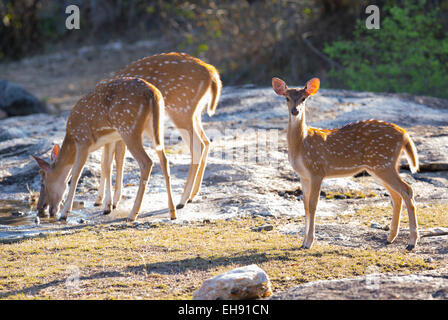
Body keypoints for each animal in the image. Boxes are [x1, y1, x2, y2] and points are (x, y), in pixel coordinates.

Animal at [32, 79, 176, 221]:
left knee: (146, 162)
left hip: (128, 128)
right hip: (155, 127)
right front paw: (108, 205)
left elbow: (76, 174)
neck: (71, 138)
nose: (40, 208)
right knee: (164, 159)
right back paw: (172, 211)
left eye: (42, 182)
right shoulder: (110, 138)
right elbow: (107, 166)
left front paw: (65, 213)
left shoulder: (83, 140)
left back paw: (132, 214)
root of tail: (152, 94)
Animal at [94, 52, 222, 212]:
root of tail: (212, 73)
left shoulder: (121, 130)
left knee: (198, 145)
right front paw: (101, 200)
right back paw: (193, 195)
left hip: (181, 109)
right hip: (195, 112)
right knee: (206, 141)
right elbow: (108, 161)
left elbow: (113, 162)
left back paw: (182, 200)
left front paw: (111, 203)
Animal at [272, 77, 420, 250]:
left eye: (304, 98)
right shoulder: (303, 175)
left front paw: (309, 243)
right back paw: (390, 238)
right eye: (286, 98)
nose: (295, 111)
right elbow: (306, 206)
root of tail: (404, 134)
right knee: (397, 195)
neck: (301, 144)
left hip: (383, 163)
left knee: (407, 190)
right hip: (379, 167)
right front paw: (303, 242)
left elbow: (313, 205)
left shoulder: (317, 170)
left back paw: (411, 242)